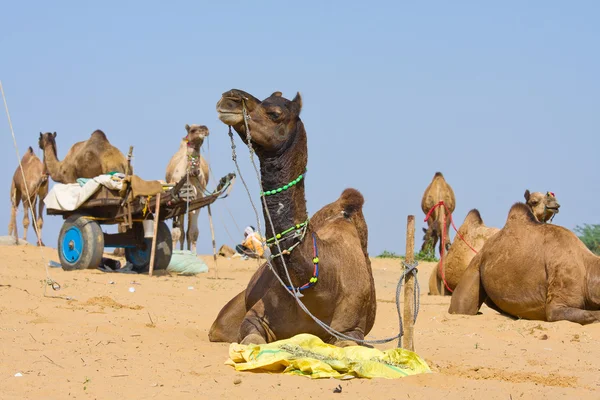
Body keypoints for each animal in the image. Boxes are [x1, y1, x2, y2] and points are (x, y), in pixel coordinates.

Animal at [165, 124, 210, 253]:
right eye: (193, 130)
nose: (205, 129)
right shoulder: (176, 199)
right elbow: (176, 232)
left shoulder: (199, 198)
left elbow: (193, 232)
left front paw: (194, 255)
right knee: (181, 231)